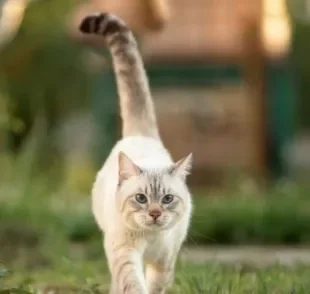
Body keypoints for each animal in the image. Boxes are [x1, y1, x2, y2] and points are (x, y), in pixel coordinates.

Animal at [78, 12, 193, 294]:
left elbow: (156, 286)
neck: (150, 239)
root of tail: (141, 134)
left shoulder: (164, 262)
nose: (155, 213)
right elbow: (132, 283)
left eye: (167, 199)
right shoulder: (125, 253)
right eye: (141, 198)